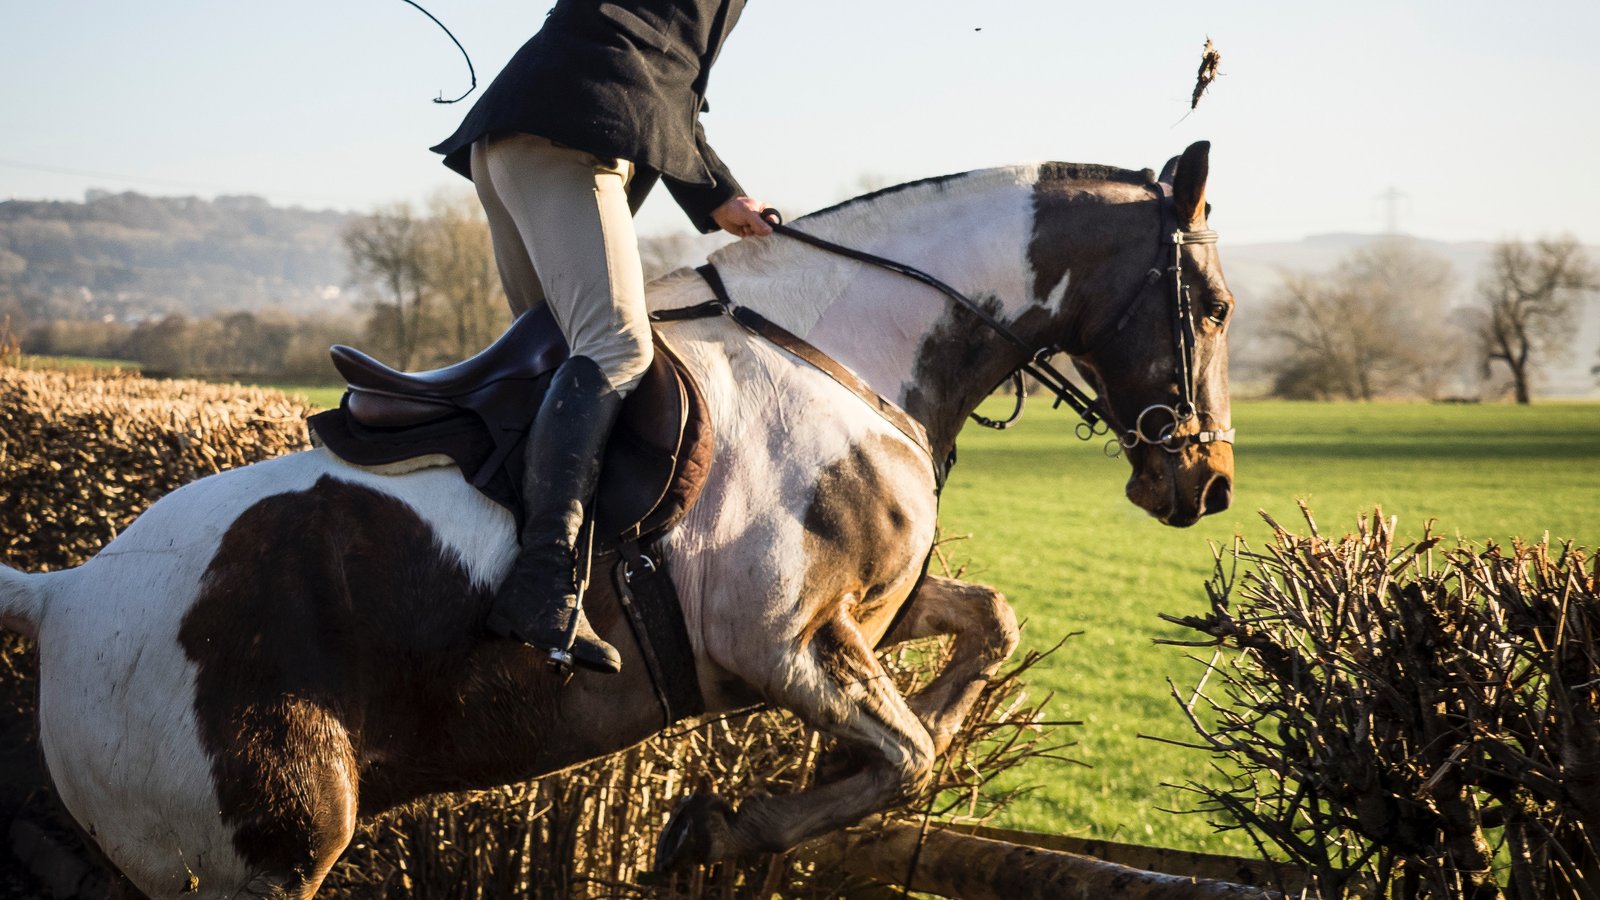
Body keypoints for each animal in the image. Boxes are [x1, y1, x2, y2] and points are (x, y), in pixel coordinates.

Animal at [0, 140, 1235, 896]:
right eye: (1218, 306)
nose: (1208, 483)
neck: (843, 348)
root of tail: (66, 594)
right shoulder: (775, 642)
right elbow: (910, 753)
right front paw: (727, 827)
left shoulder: (865, 616)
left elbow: (987, 631)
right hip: (254, 853)